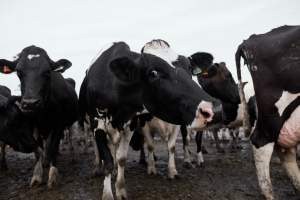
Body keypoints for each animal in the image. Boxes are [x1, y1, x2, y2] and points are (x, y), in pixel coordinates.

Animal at [0, 45, 78, 189]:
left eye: (47, 72)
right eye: (18, 72)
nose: (30, 103)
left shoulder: (58, 125)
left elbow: (53, 147)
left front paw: (52, 176)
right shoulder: (32, 125)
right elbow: (37, 150)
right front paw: (37, 175)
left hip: (69, 123)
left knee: (69, 138)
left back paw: (72, 156)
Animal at [78, 41, 221, 200]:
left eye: (189, 68)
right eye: (153, 73)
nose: (212, 109)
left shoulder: (130, 125)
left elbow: (121, 158)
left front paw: (120, 189)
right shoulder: (98, 124)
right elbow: (107, 159)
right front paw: (108, 194)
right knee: (99, 150)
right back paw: (97, 168)